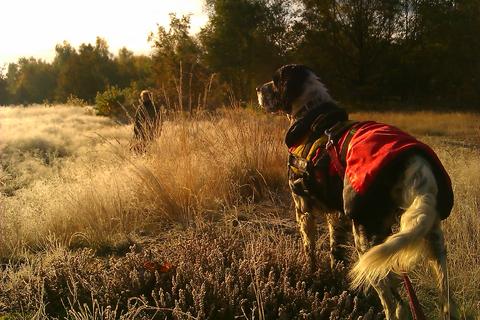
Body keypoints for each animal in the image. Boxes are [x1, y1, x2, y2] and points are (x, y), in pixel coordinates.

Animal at [258, 65, 458, 320]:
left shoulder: (303, 208)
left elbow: (309, 249)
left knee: (396, 305)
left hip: (366, 239)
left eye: (274, 82)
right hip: (433, 241)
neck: (311, 115)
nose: (258, 89)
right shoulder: (337, 216)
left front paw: (311, 273)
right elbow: (335, 252)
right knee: (446, 302)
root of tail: (415, 161)